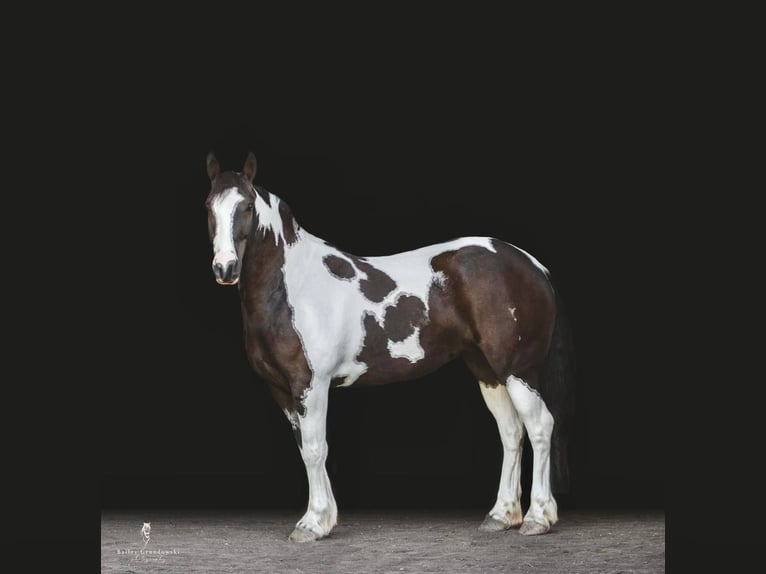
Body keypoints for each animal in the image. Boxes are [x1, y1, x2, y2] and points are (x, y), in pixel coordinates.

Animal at [204, 151, 576, 544]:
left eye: (246, 206)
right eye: (208, 207)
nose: (225, 268)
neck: (293, 288)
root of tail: (534, 266)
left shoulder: (311, 384)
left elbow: (316, 449)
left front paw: (313, 523)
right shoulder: (281, 389)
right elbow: (307, 447)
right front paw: (326, 517)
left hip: (519, 371)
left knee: (540, 427)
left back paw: (538, 517)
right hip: (488, 371)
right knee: (511, 432)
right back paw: (502, 515)